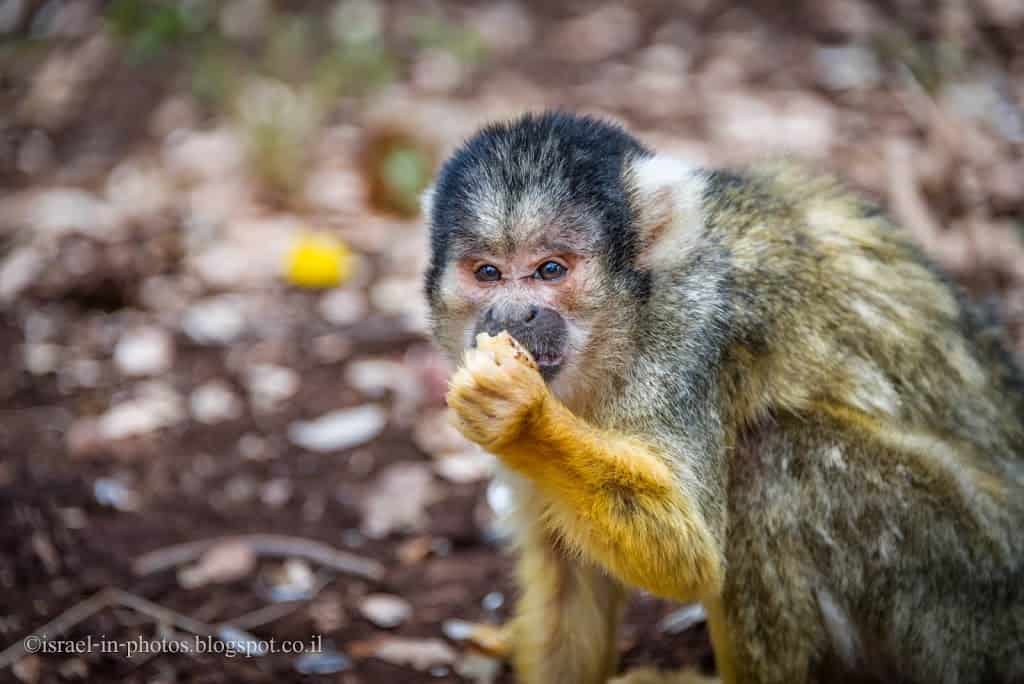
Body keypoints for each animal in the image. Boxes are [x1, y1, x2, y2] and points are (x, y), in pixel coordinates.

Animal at [419, 112, 1019, 684]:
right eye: (488, 273)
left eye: (550, 270)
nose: (512, 315)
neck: (624, 328)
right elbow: (566, 566)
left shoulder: (693, 335)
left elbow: (689, 555)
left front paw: (523, 415)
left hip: (970, 592)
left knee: (771, 462)